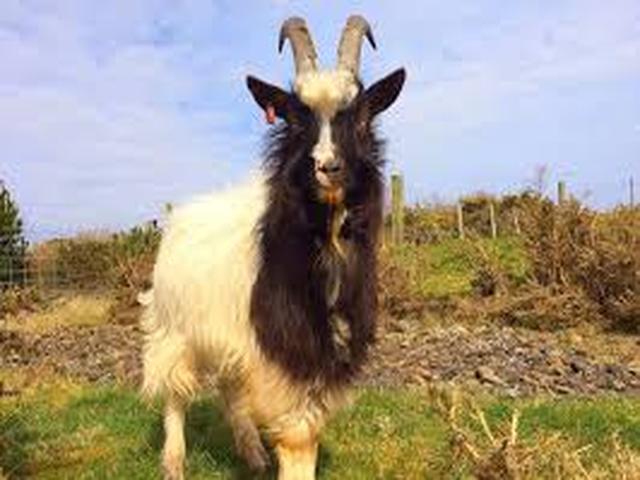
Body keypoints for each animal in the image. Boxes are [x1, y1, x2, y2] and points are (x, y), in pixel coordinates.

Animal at [141, 15, 405, 480]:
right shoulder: (280, 349)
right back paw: (174, 461)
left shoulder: (322, 349)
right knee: (175, 389)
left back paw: (252, 453)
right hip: (174, 325)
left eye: (361, 119)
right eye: (297, 121)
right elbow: (298, 436)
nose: (328, 168)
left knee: (230, 387)